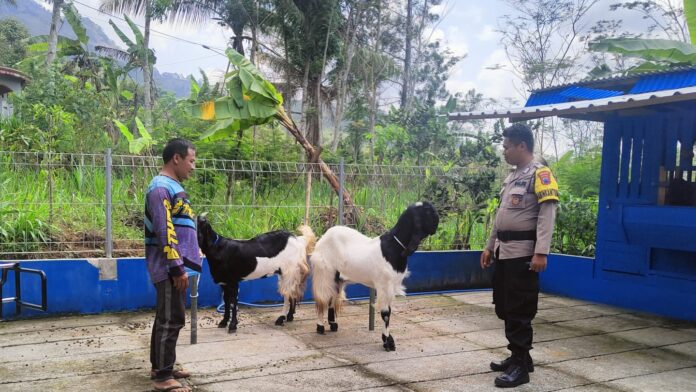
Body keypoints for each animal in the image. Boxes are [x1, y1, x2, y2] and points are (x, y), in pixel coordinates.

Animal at [312, 201, 440, 350]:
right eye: (428, 211)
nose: (437, 221)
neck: (394, 246)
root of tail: (323, 238)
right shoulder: (384, 285)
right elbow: (386, 313)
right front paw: (388, 342)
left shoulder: (390, 287)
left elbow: (389, 311)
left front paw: (388, 340)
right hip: (325, 273)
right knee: (323, 298)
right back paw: (320, 327)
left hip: (337, 278)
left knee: (332, 297)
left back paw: (333, 324)